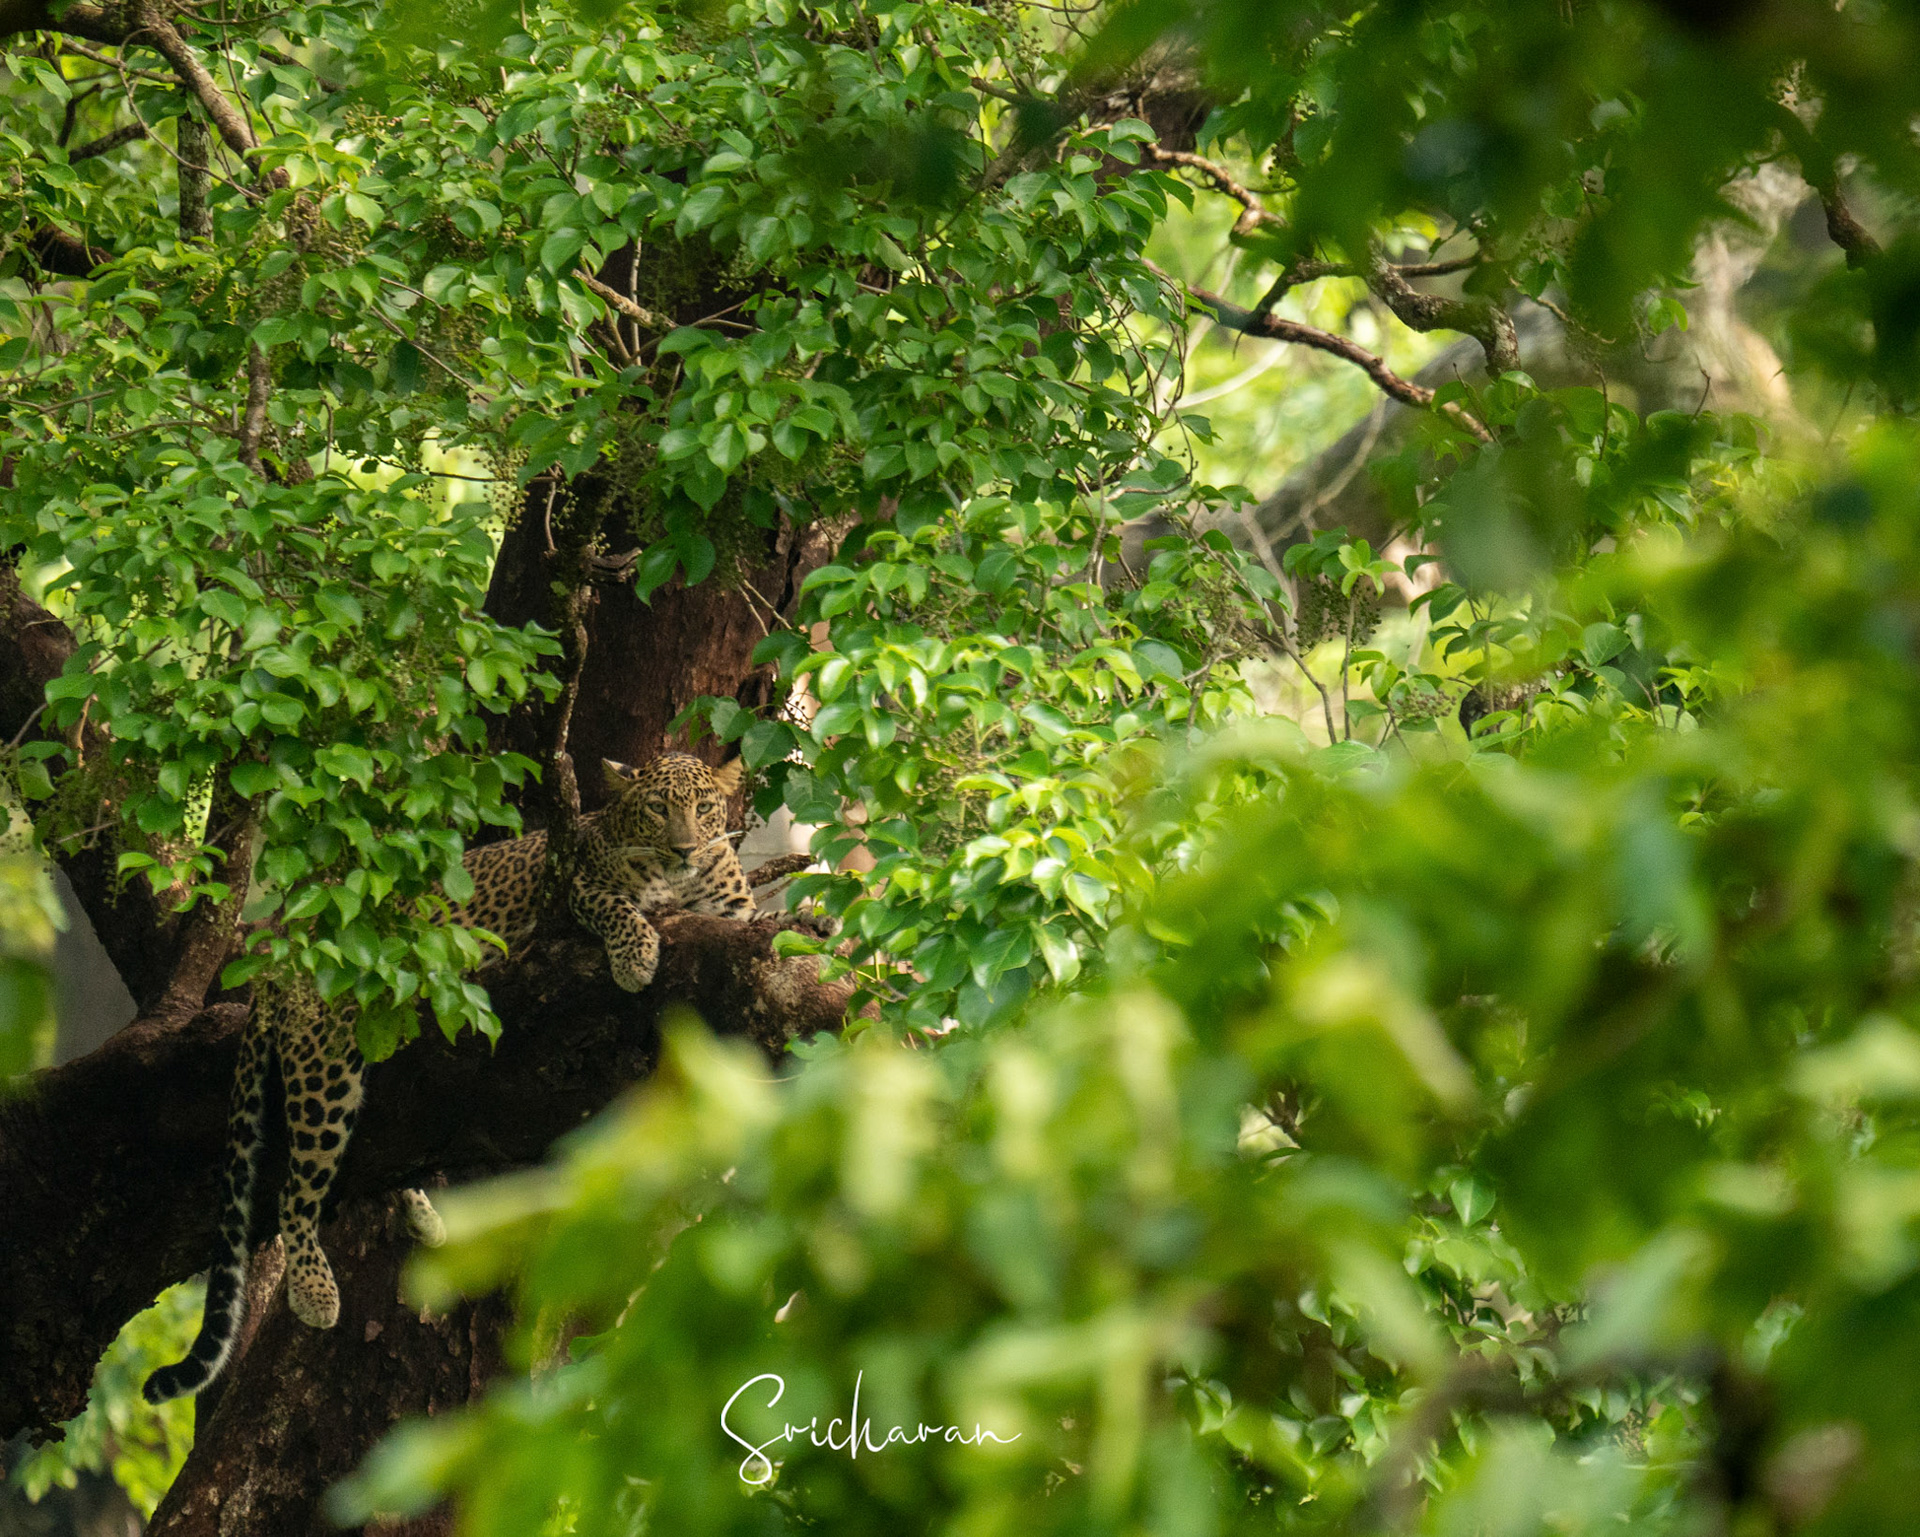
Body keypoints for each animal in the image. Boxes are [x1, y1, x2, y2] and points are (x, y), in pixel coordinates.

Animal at [143, 753, 757, 1404]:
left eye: (703, 808)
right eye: (658, 809)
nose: (685, 849)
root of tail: (285, 953)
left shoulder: (741, 922)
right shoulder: (579, 888)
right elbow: (620, 907)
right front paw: (636, 959)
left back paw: (424, 1217)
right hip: (326, 1056)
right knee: (297, 1187)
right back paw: (315, 1291)